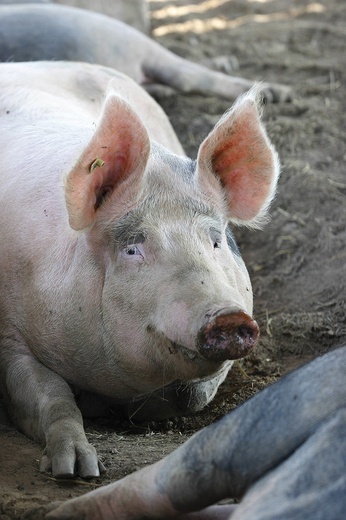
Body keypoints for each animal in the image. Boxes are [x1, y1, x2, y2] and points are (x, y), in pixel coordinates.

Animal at [0, 59, 278, 478]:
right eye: (133, 249)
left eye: (215, 241)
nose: (227, 317)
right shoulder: (7, 339)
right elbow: (50, 392)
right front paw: (76, 469)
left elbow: (193, 392)